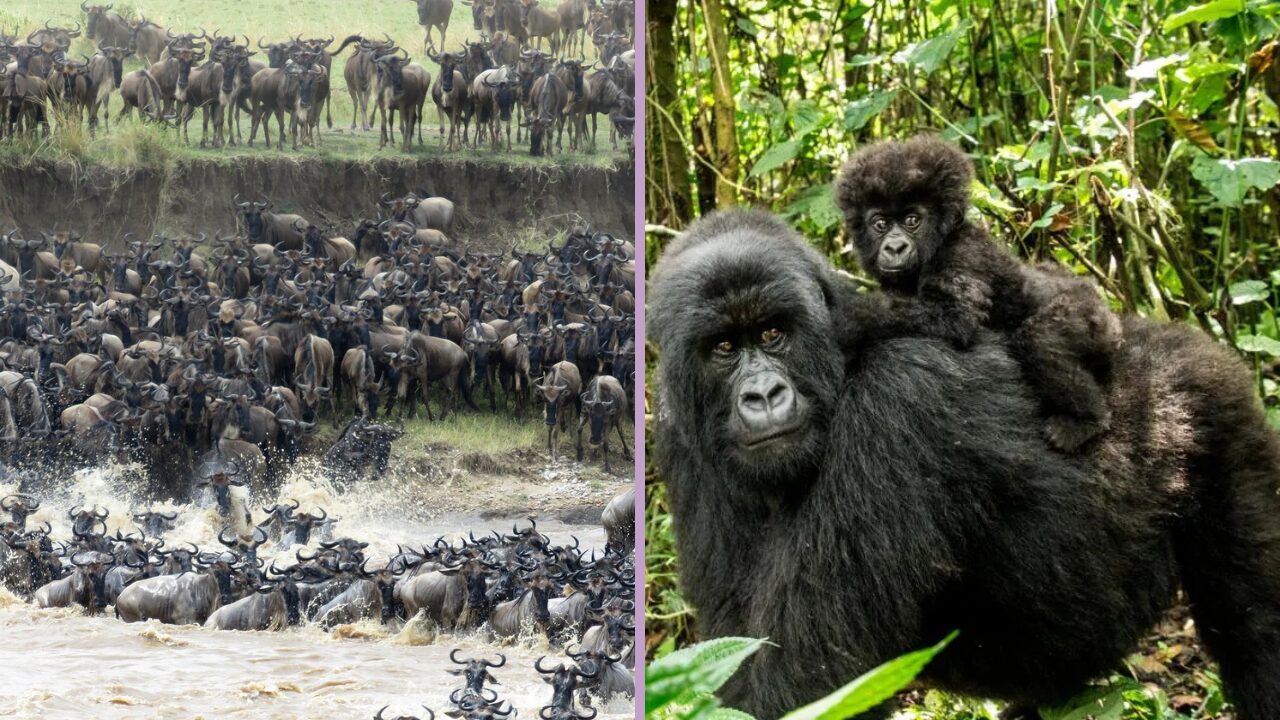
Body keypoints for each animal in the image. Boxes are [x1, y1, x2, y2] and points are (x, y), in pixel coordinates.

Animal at [833, 135, 1121, 452]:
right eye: (880, 224)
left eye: (912, 220)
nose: (895, 247)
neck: (941, 238)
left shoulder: (962, 250)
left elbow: (955, 316)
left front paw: (850, 318)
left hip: (1093, 318)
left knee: (1040, 339)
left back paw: (1086, 420)